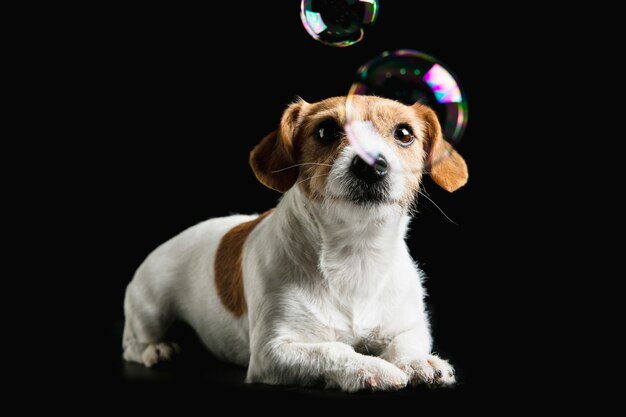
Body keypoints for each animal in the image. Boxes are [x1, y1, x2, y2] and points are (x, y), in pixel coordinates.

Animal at [122, 94, 466, 390]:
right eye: (326, 131)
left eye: (404, 133)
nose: (371, 164)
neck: (356, 252)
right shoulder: (273, 352)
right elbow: (332, 350)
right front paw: (369, 367)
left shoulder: (408, 326)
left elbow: (405, 343)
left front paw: (416, 361)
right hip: (151, 310)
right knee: (131, 344)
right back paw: (155, 350)